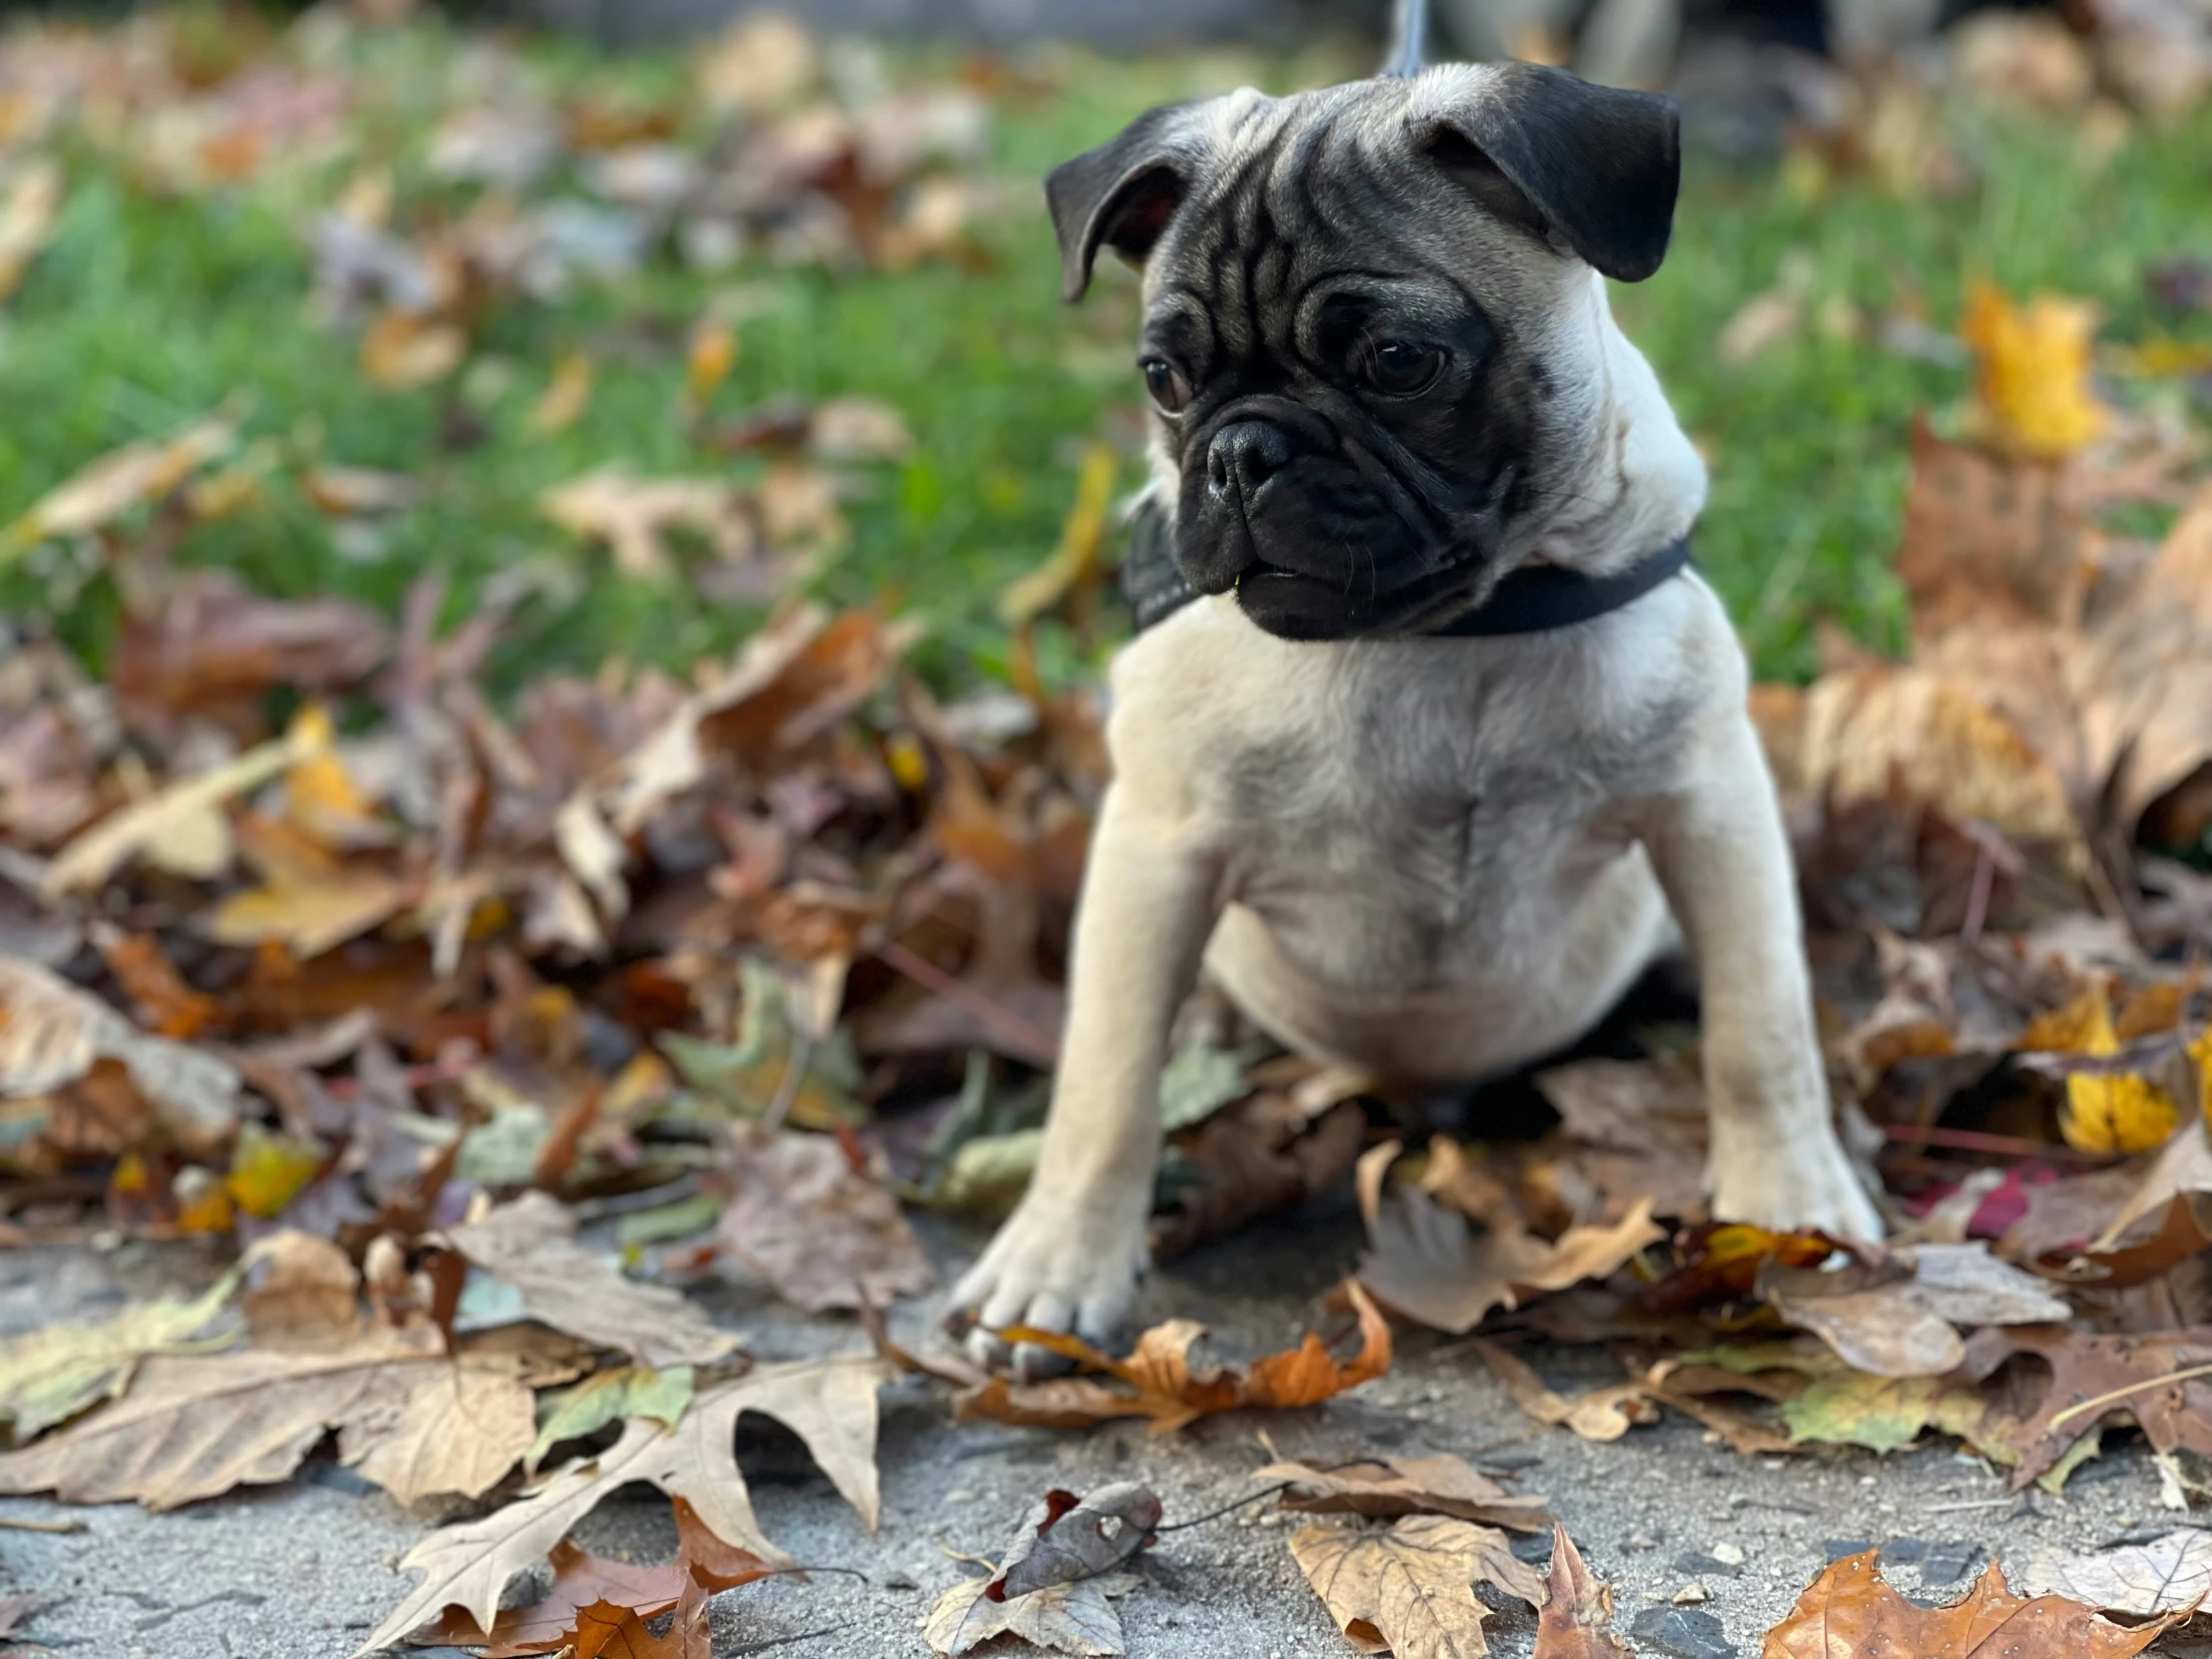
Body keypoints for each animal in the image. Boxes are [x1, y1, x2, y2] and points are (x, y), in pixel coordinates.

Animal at [942, 0, 1876, 1380]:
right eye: (1163, 380)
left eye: (1396, 362)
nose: (1241, 452)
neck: (1436, 636)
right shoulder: (1157, 850)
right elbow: (1103, 1088)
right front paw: (1057, 1265)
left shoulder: (1709, 811)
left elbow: (1762, 1032)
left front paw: (1789, 1206)